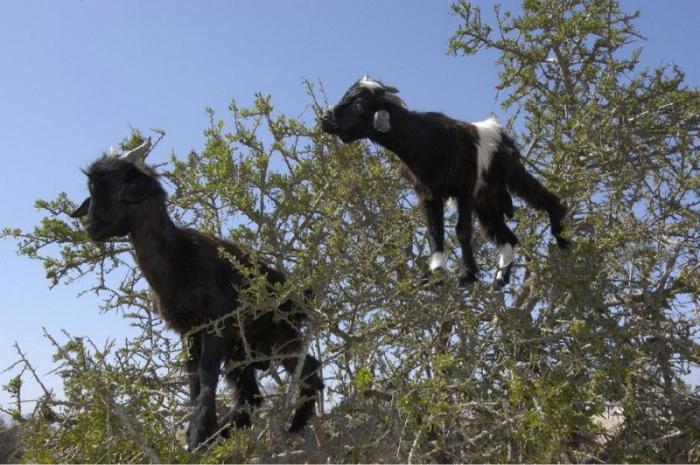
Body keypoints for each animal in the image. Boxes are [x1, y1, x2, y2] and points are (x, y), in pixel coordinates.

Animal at [71, 142, 322, 450]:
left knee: (308, 369)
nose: (91, 226)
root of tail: (299, 295)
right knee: (251, 397)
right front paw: (197, 433)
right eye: (92, 192)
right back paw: (228, 430)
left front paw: (199, 432)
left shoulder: (217, 323)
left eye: (119, 188)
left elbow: (206, 373)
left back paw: (296, 423)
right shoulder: (189, 330)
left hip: (280, 333)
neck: (179, 257)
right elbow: (192, 377)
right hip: (244, 351)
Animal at [322, 76, 568, 286]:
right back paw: (501, 278)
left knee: (540, 195)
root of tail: (500, 133)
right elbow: (434, 233)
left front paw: (467, 275)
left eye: (359, 105)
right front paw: (435, 274)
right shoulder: (429, 194)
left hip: (509, 173)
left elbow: (462, 230)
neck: (424, 143)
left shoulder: (464, 189)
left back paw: (562, 236)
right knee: (508, 237)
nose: (326, 119)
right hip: (486, 200)